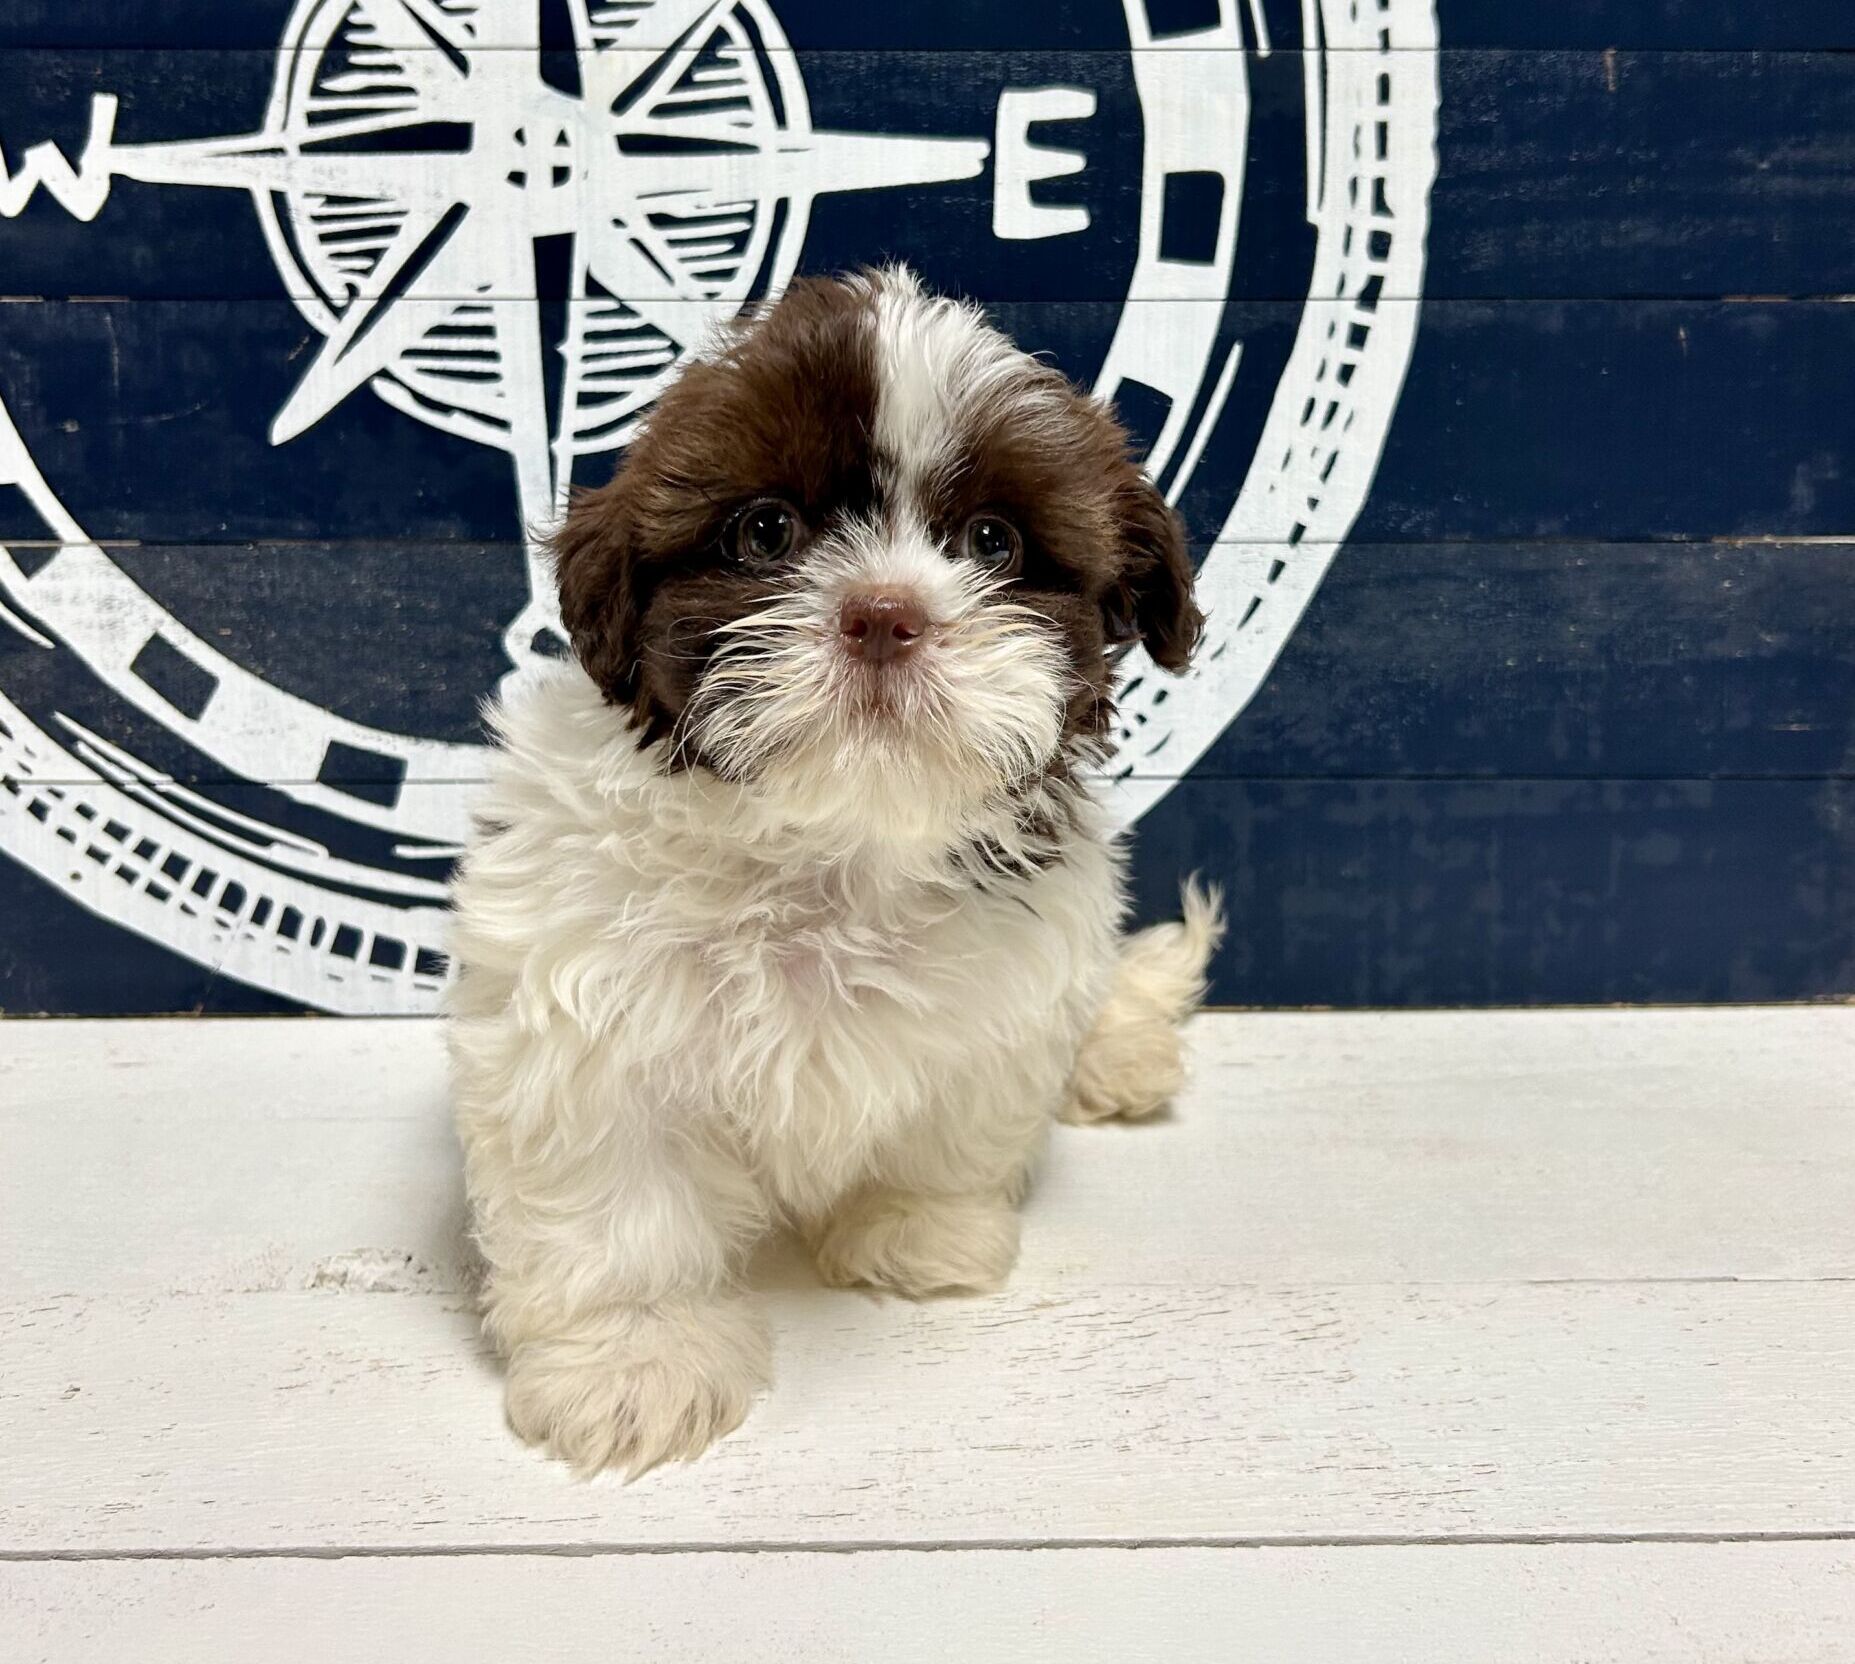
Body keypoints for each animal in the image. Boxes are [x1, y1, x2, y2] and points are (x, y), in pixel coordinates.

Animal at [447, 266, 1223, 1476]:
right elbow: (617, 1209)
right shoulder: (582, 1021)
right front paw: (633, 1361)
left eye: (991, 541)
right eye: (766, 530)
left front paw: (916, 1227)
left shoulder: (999, 995)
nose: (884, 614)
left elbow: (952, 1127)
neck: (831, 844)